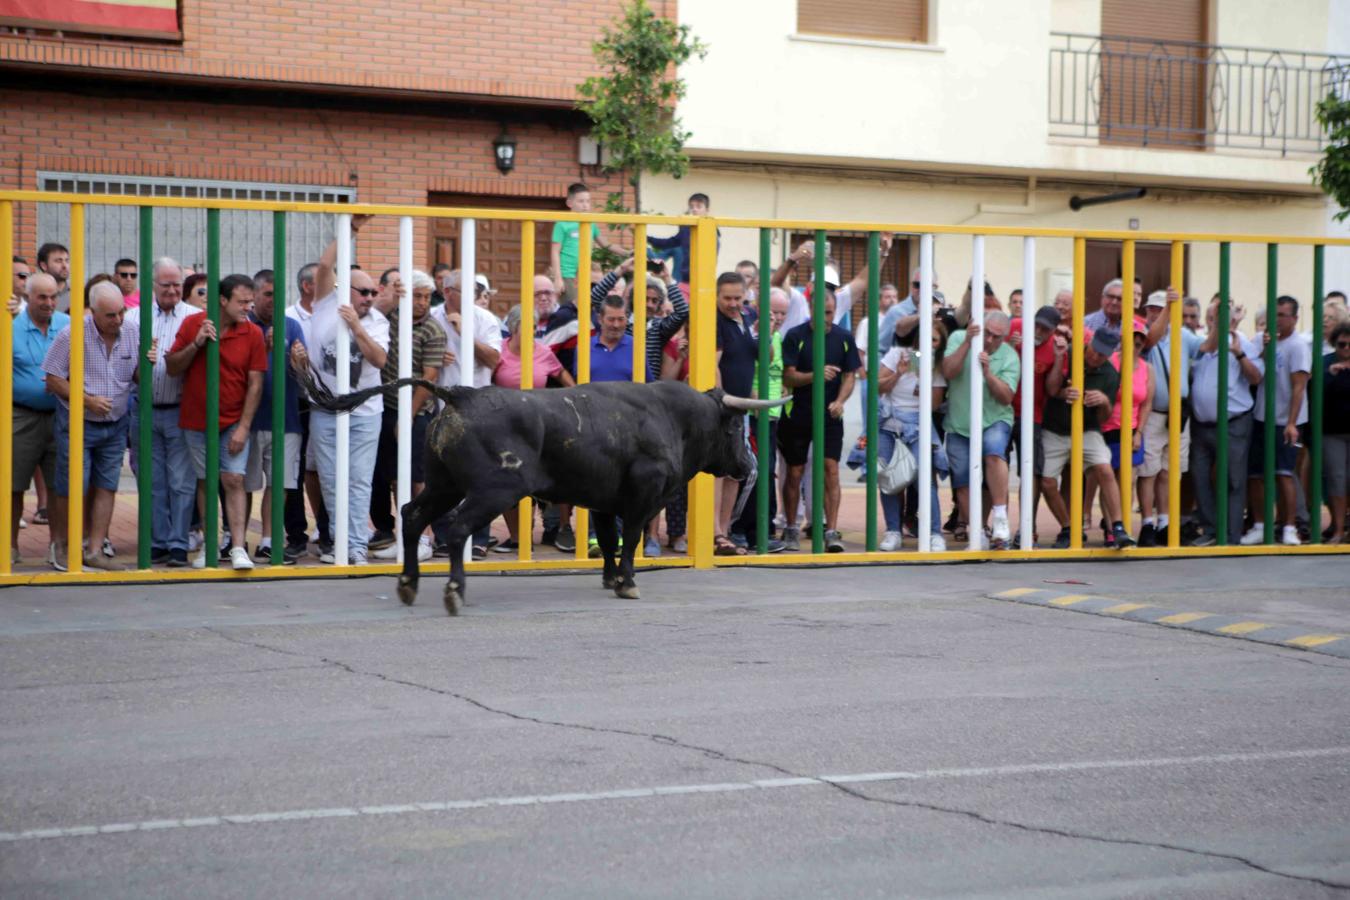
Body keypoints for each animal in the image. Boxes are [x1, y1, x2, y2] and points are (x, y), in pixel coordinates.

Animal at [295, 369, 783, 615]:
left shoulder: (603, 501)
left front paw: (609, 579)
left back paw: (408, 585)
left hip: (443, 484)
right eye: (735, 427)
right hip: (494, 489)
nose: (747, 466)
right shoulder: (643, 497)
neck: (671, 417)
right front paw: (627, 584)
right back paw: (453, 592)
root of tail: (459, 394)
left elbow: (609, 540)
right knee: (457, 528)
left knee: (413, 516)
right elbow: (630, 541)